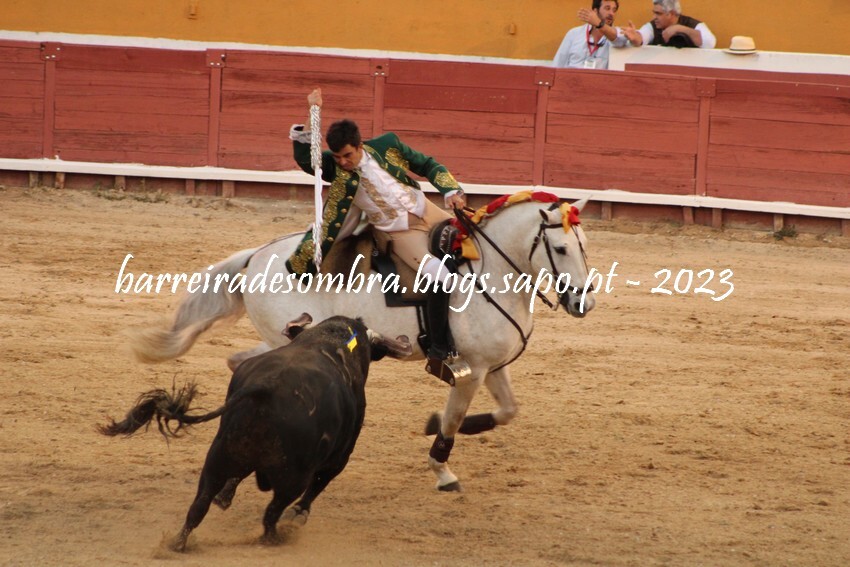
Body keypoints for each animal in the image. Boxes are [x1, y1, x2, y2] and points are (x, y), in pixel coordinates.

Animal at [99, 314, 411, 551]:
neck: (331, 340)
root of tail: (266, 389)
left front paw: (225, 498)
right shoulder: (339, 456)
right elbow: (319, 485)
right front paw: (299, 515)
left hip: (217, 457)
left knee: (198, 507)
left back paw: (178, 543)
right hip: (292, 477)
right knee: (271, 514)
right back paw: (275, 538)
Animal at [129, 194, 597, 491]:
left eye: (585, 245)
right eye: (559, 248)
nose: (584, 302)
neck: (491, 269)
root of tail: (256, 256)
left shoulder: (493, 366)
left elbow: (506, 411)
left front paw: (435, 427)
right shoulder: (470, 371)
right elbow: (452, 421)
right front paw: (442, 471)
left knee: (238, 360)